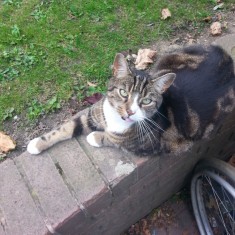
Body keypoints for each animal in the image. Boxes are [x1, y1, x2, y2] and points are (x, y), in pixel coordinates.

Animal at [26, 44, 235, 156]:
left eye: (146, 101)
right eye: (123, 93)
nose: (130, 111)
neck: (114, 120)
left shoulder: (148, 147)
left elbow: (113, 140)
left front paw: (95, 137)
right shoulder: (94, 113)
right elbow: (66, 127)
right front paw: (36, 144)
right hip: (169, 57)